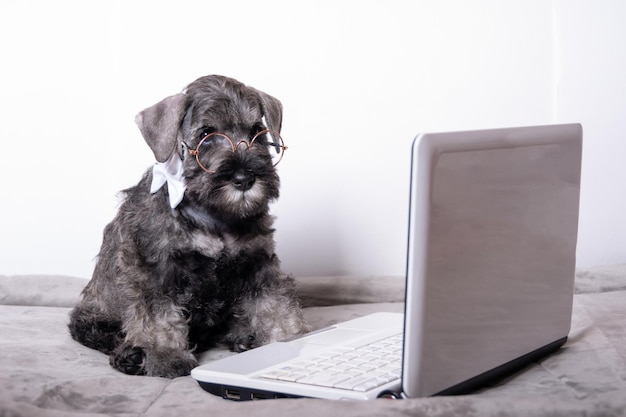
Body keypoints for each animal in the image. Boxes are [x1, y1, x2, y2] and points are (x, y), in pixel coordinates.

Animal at [67, 74, 308, 376]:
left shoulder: (257, 262)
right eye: (206, 135)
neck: (214, 216)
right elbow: (158, 317)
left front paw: (288, 336)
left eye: (257, 131)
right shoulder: (155, 269)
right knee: (102, 333)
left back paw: (243, 335)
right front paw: (166, 356)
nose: (244, 178)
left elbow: (272, 303)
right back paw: (131, 355)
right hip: (92, 316)